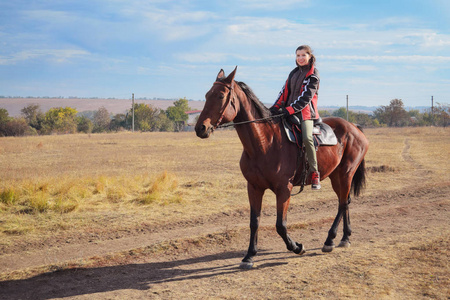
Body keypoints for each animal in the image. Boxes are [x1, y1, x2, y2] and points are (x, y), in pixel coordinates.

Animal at [194, 67, 370, 268]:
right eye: (207, 95)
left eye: (221, 95)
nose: (200, 128)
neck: (265, 143)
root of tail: (354, 127)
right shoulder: (253, 187)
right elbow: (254, 222)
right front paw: (249, 256)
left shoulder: (284, 189)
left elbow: (280, 225)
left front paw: (297, 247)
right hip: (336, 176)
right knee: (345, 201)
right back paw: (345, 238)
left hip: (346, 173)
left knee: (342, 204)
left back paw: (329, 240)